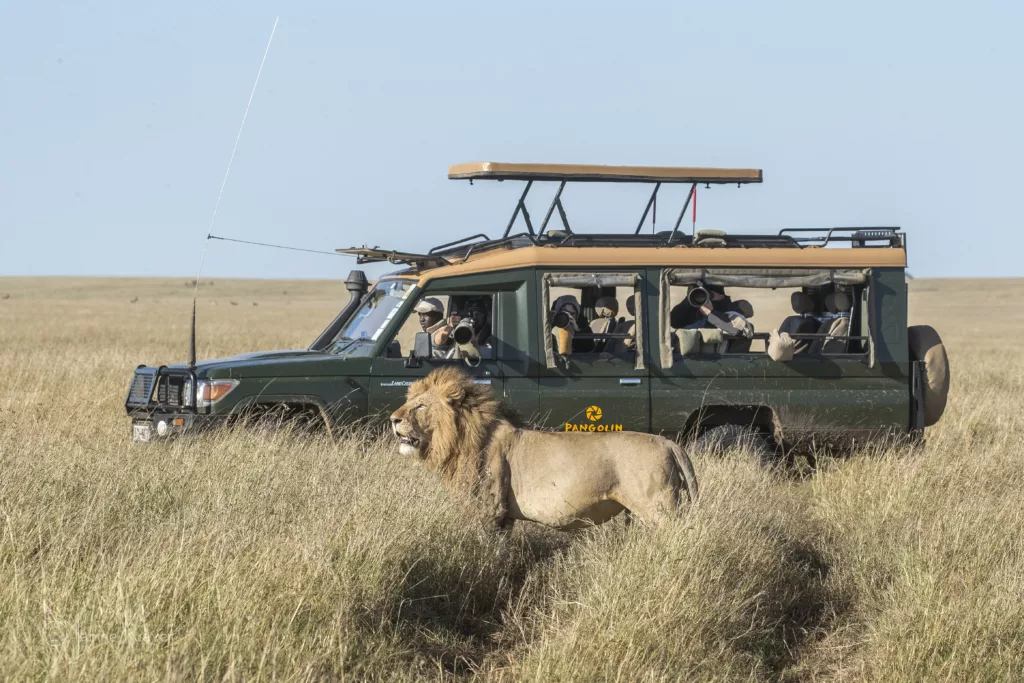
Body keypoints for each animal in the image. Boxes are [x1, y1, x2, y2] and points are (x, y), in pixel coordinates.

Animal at [389, 366, 696, 532]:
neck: (462, 438)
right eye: (409, 401)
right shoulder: (505, 517)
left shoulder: (490, 508)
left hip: (660, 509)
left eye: (420, 406)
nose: (393, 419)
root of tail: (669, 443)